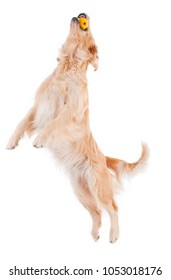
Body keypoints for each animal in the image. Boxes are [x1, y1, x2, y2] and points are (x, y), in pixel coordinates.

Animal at [6, 13, 149, 243]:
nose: (82, 13)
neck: (67, 67)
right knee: (97, 212)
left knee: (113, 208)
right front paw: (11, 141)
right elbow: (22, 121)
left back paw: (114, 235)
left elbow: (54, 124)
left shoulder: (70, 111)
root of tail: (104, 158)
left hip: (99, 187)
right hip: (81, 190)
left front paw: (40, 139)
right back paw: (95, 234)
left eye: (87, 27)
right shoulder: (39, 104)